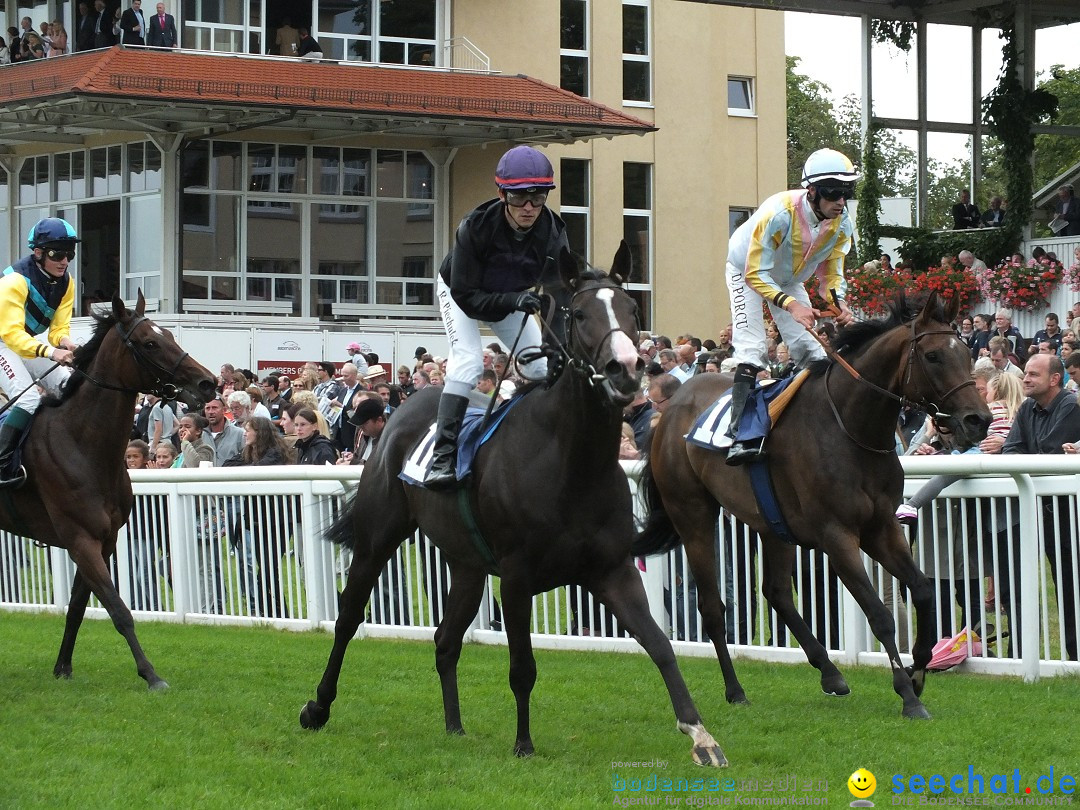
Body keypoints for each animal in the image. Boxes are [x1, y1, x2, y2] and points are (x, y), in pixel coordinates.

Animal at [0, 295, 214, 691]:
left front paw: (63, 667)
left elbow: (76, 608)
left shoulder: (104, 539)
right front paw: (151, 675)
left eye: (169, 334)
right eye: (150, 343)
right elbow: (118, 609)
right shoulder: (80, 538)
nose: (207, 382)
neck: (83, 443)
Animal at [304, 246, 725, 768]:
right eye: (579, 313)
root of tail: (398, 412)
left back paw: (454, 726)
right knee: (348, 618)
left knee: (445, 640)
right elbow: (522, 666)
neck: (571, 463)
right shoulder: (518, 575)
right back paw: (318, 706)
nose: (627, 369)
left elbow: (661, 645)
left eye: (634, 311)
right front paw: (523, 743)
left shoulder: (612, 568)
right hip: (377, 536)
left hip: (466, 563)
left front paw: (700, 735)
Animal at [630, 289, 993, 717]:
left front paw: (918, 671)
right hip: (693, 515)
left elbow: (921, 590)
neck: (852, 428)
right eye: (934, 356)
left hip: (772, 523)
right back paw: (736, 689)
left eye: (967, 353)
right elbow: (880, 615)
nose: (978, 420)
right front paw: (906, 692)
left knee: (776, 592)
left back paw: (830, 672)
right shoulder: (837, 535)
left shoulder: (881, 526)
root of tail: (671, 408)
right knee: (713, 608)